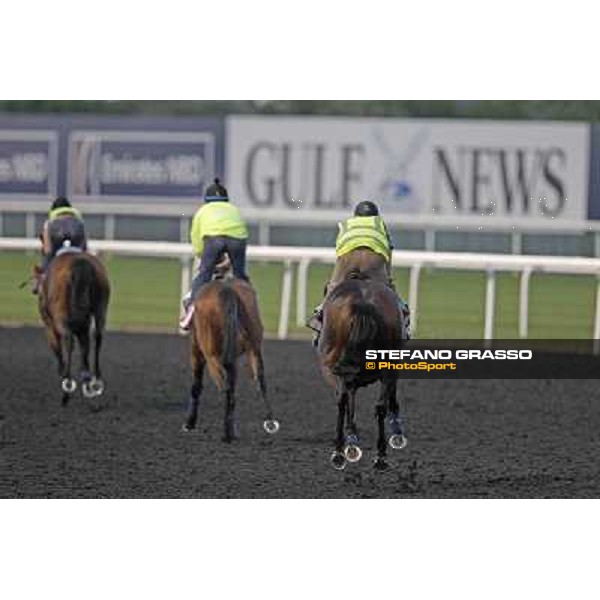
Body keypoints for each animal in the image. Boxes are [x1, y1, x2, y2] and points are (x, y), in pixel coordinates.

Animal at [37, 246, 111, 406]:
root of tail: (80, 264)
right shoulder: (84, 324)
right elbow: (85, 347)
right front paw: (86, 377)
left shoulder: (50, 325)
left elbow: (57, 347)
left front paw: (63, 373)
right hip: (100, 308)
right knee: (97, 337)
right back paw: (95, 379)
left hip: (60, 317)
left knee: (68, 341)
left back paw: (67, 388)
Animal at [182, 276, 280, 440]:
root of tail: (226, 290)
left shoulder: (196, 351)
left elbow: (196, 386)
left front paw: (189, 423)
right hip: (252, 348)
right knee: (255, 382)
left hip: (211, 355)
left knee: (224, 386)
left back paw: (228, 433)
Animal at [318, 278, 408, 474]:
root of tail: (363, 303)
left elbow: (346, 402)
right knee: (379, 406)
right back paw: (380, 457)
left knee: (342, 402)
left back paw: (339, 453)